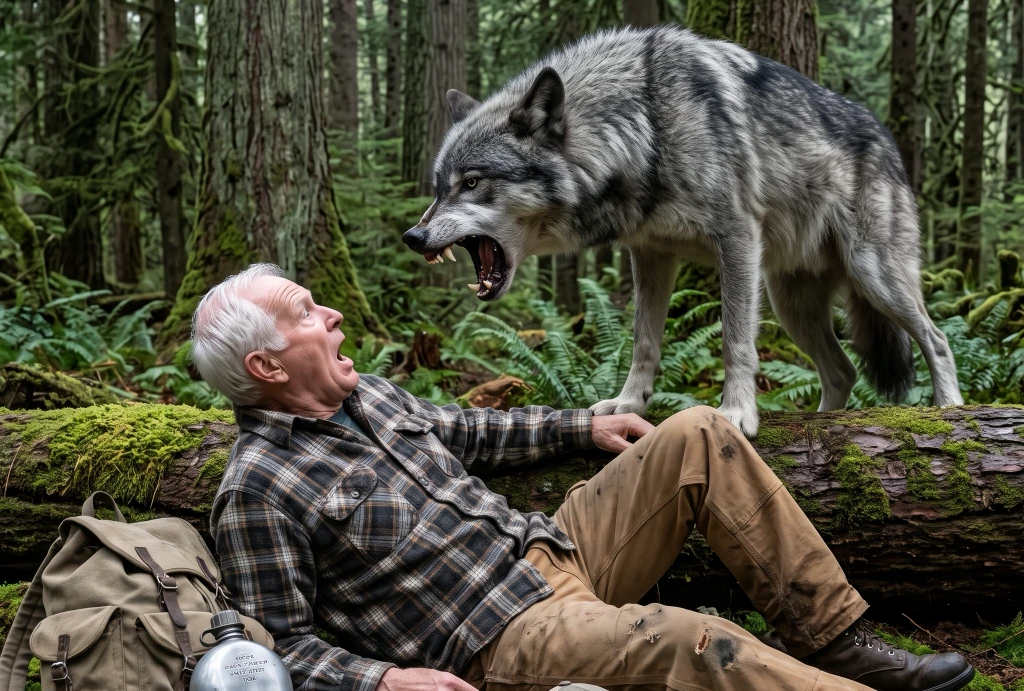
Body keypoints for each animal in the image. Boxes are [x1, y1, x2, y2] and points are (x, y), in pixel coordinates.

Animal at [402, 25, 963, 437]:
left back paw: (950, 412)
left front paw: (737, 413)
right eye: (438, 187)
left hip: (872, 277)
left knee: (936, 340)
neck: (644, 126)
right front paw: (629, 403)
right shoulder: (650, 256)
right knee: (844, 370)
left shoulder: (737, 240)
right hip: (792, 306)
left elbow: (735, 341)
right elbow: (643, 340)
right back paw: (825, 424)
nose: (413, 237)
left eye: (472, 182)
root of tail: (888, 138)